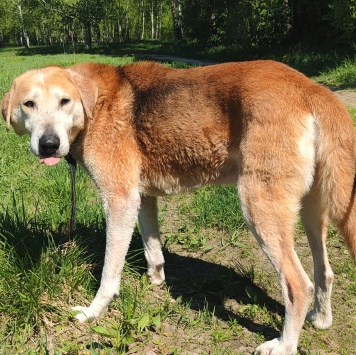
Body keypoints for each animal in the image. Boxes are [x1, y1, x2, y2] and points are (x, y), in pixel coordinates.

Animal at [1, 61, 354, 355]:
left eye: (65, 101)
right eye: (28, 104)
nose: (48, 145)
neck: (94, 103)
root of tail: (311, 87)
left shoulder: (119, 199)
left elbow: (109, 273)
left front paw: (93, 312)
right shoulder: (142, 198)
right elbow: (152, 247)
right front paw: (155, 280)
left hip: (259, 207)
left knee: (299, 285)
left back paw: (284, 345)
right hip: (311, 210)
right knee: (325, 271)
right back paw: (321, 319)